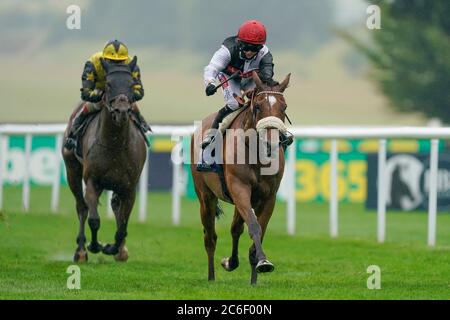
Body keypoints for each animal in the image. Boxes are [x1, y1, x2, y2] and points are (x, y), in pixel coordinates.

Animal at [62, 57, 147, 262]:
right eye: (108, 84)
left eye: (131, 83)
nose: (122, 111)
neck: (115, 144)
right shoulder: (93, 181)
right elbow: (94, 219)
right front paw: (94, 246)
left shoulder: (129, 188)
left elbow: (123, 226)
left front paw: (113, 248)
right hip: (72, 170)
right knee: (82, 207)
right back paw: (81, 251)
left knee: (116, 206)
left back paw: (120, 250)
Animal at [190, 72, 292, 284]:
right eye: (258, 106)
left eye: (284, 107)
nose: (271, 144)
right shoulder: (240, 188)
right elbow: (254, 226)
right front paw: (261, 261)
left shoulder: (268, 197)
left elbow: (259, 229)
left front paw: (258, 268)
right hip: (206, 197)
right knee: (210, 237)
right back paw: (211, 277)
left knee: (235, 228)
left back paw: (232, 262)